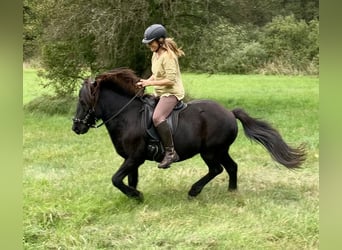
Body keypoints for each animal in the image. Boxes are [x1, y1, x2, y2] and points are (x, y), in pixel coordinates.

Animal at [73, 67, 308, 200]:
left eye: (83, 102)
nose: (76, 127)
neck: (127, 115)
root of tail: (229, 113)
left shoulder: (135, 157)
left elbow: (116, 179)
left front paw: (136, 196)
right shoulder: (132, 160)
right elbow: (129, 180)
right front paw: (134, 198)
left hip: (210, 151)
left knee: (216, 169)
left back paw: (194, 191)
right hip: (221, 150)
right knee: (232, 167)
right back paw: (232, 192)